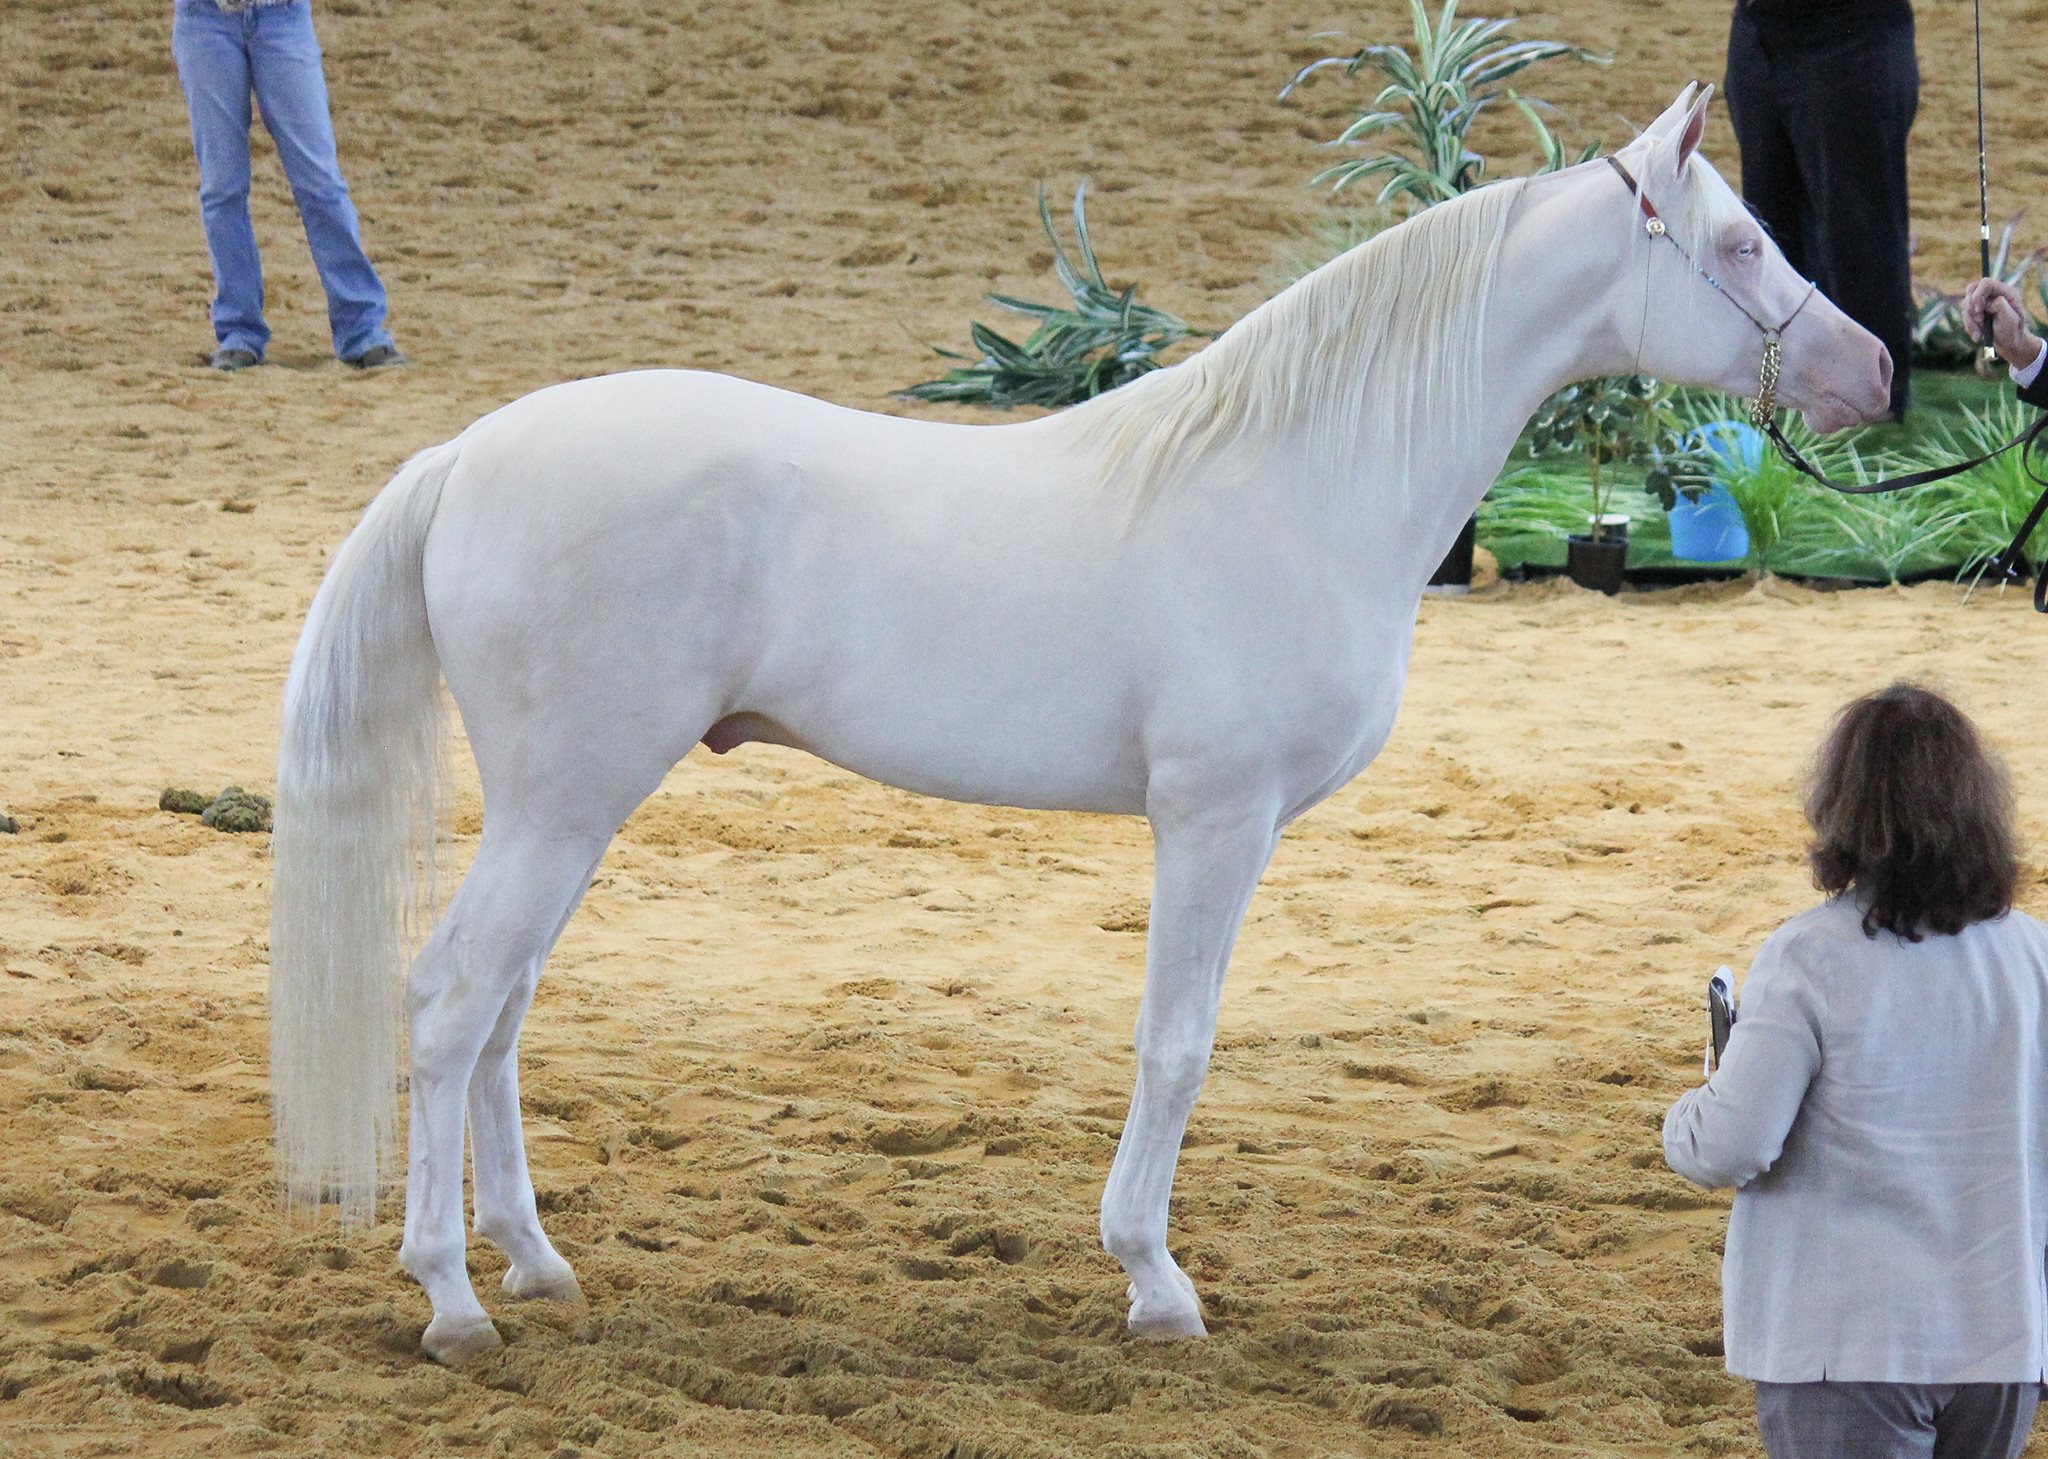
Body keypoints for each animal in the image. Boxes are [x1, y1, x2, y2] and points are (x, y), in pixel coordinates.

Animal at [268, 85, 1884, 1368]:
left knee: (502, 1009)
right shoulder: (1215, 819)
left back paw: (534, 1262)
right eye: (1740, 245)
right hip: (563, 803)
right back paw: (450, 1298)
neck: (1302, 482)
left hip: (571, 807)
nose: (1872, 370)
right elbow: (1176, 1043)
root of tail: (468, 452)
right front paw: (1155, 1282)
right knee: (453, 998)